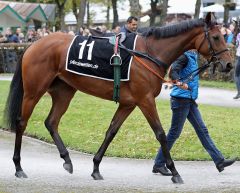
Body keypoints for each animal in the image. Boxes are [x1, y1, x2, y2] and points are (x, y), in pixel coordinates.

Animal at [4, 12, 232, 184]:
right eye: (216, 37)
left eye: (223, 35)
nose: (229, 64)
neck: (149, 53)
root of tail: (33, 44)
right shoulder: (145, 100)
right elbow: (161, 134)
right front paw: (174, 172)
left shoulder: (128, 103)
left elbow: (111, 131)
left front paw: (96, 167)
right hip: (34, 91)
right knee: (22, 122)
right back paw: (18, 166)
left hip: (64, 91)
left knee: (51, 122)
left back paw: (67, 159)